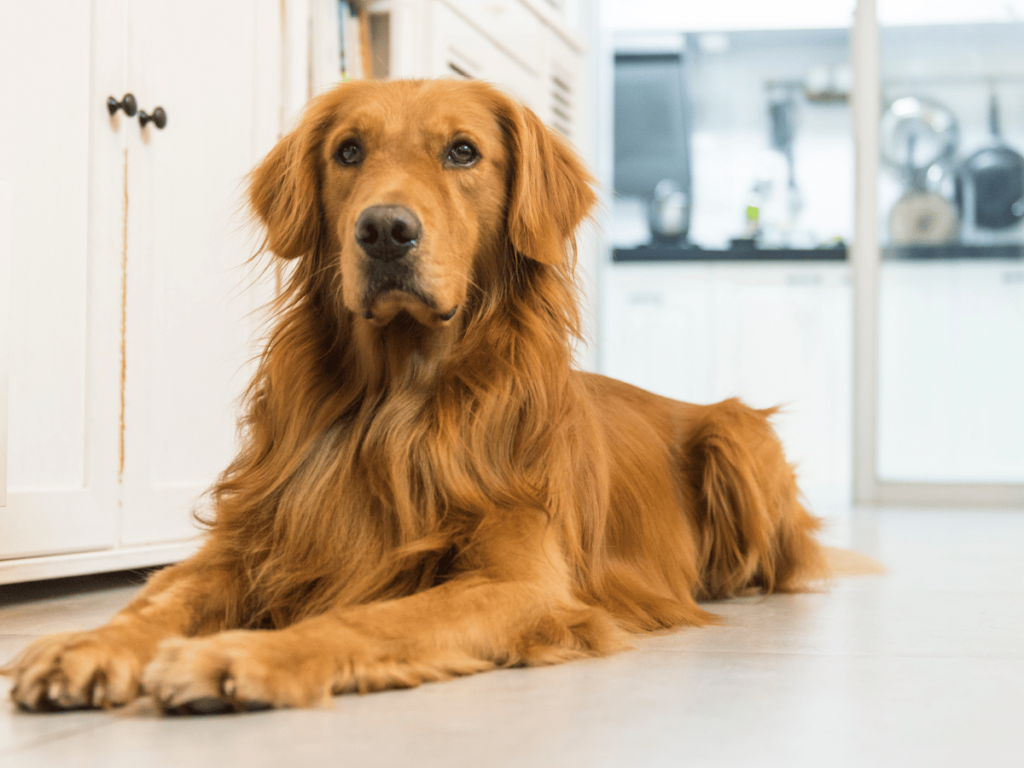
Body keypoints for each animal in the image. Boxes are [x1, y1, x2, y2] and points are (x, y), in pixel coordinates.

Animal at [2, 79, 823, 716]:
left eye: (463, 152)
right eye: (348, 152)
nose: (386, 231)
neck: (395, 403)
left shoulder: (523, 584)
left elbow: (370, 620)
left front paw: (241, 657)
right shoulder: (253, 542)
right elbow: (159, 599)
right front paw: (88, 644)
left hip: (739, 433)